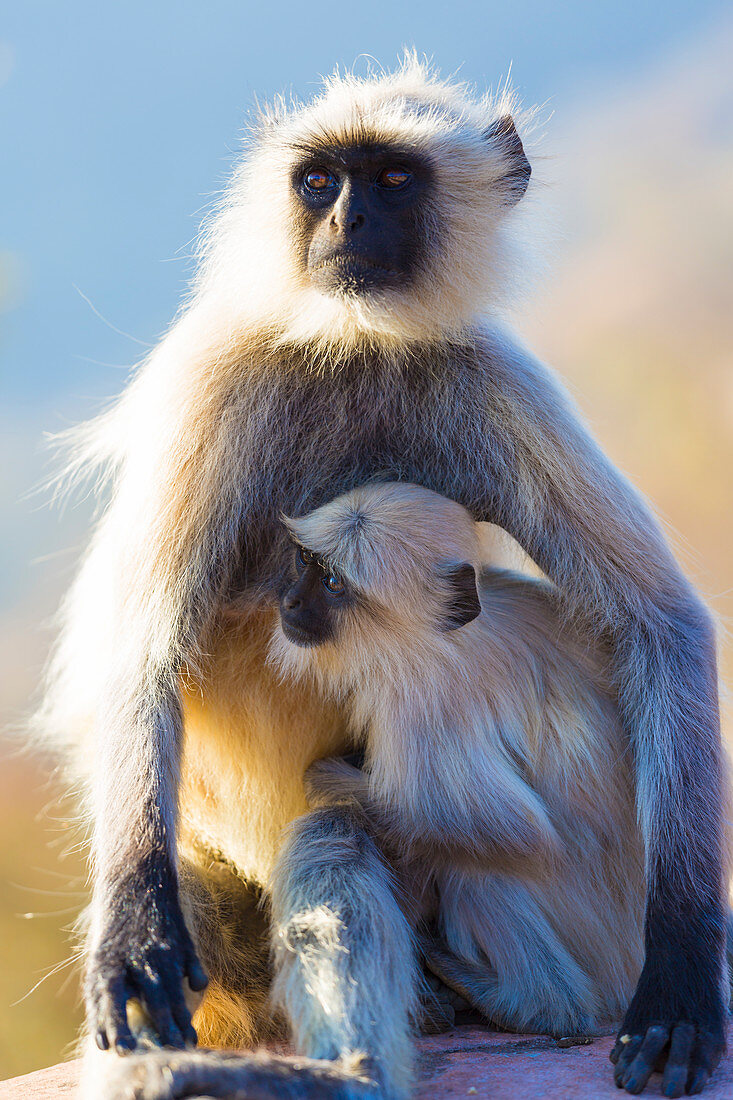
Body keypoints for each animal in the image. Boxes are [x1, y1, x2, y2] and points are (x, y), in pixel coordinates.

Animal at [268, 488, 647, 1091]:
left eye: (332, 585)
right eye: (306, 564)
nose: (290, 600)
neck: (445, 633)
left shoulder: (422, 698)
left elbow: (515, 831)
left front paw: (328, 776)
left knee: (476, 867)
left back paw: (539, 1005)